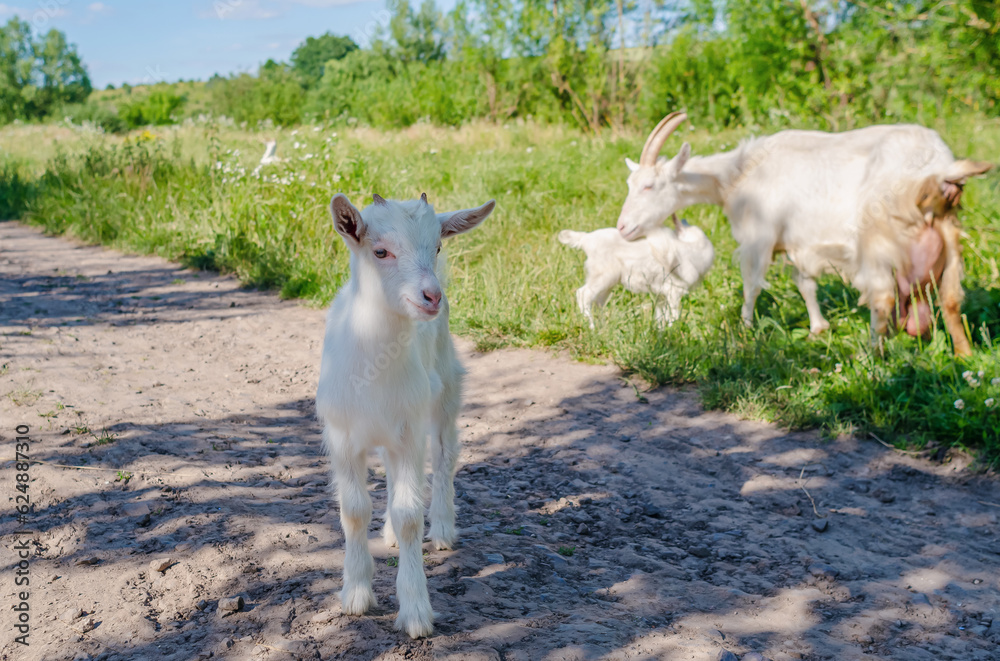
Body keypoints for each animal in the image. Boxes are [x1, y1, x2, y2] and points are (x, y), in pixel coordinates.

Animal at [315, 192, 495, 638]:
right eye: (380, 251)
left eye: (438, 246)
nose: (432, 296)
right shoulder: (342, 435)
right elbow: (353, 509)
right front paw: (356, 594)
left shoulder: (410, 431)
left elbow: (410, 514)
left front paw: (415, 610)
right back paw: (389, 534)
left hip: (444, 388)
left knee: (445, 455)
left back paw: (443, 528)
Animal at [558, 215, 714, 327]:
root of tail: (585, 239)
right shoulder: (674, 291)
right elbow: (674, 314)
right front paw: (673, 330)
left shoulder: (661, 294)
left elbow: (660, 316)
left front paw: (661, 335)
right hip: (603, 275)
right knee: (583, 294)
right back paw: (591, 326)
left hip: (608, 281)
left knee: (598, 302)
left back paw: (602, 327)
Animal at [616, 112, 969, 335]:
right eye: (629, 184)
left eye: (649, 186)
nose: (622, 228)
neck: (737, 174)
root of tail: (941, 164)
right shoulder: (799, 240)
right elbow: (805, 284)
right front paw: (818, 328)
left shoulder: (758, 237)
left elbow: (751, 285)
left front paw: (745, 331)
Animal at [855, 160, 993, 356]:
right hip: (952, 255)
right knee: (950, 303)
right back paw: (963, 355)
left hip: (878, 259)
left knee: (882, 305)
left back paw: (874, 357)